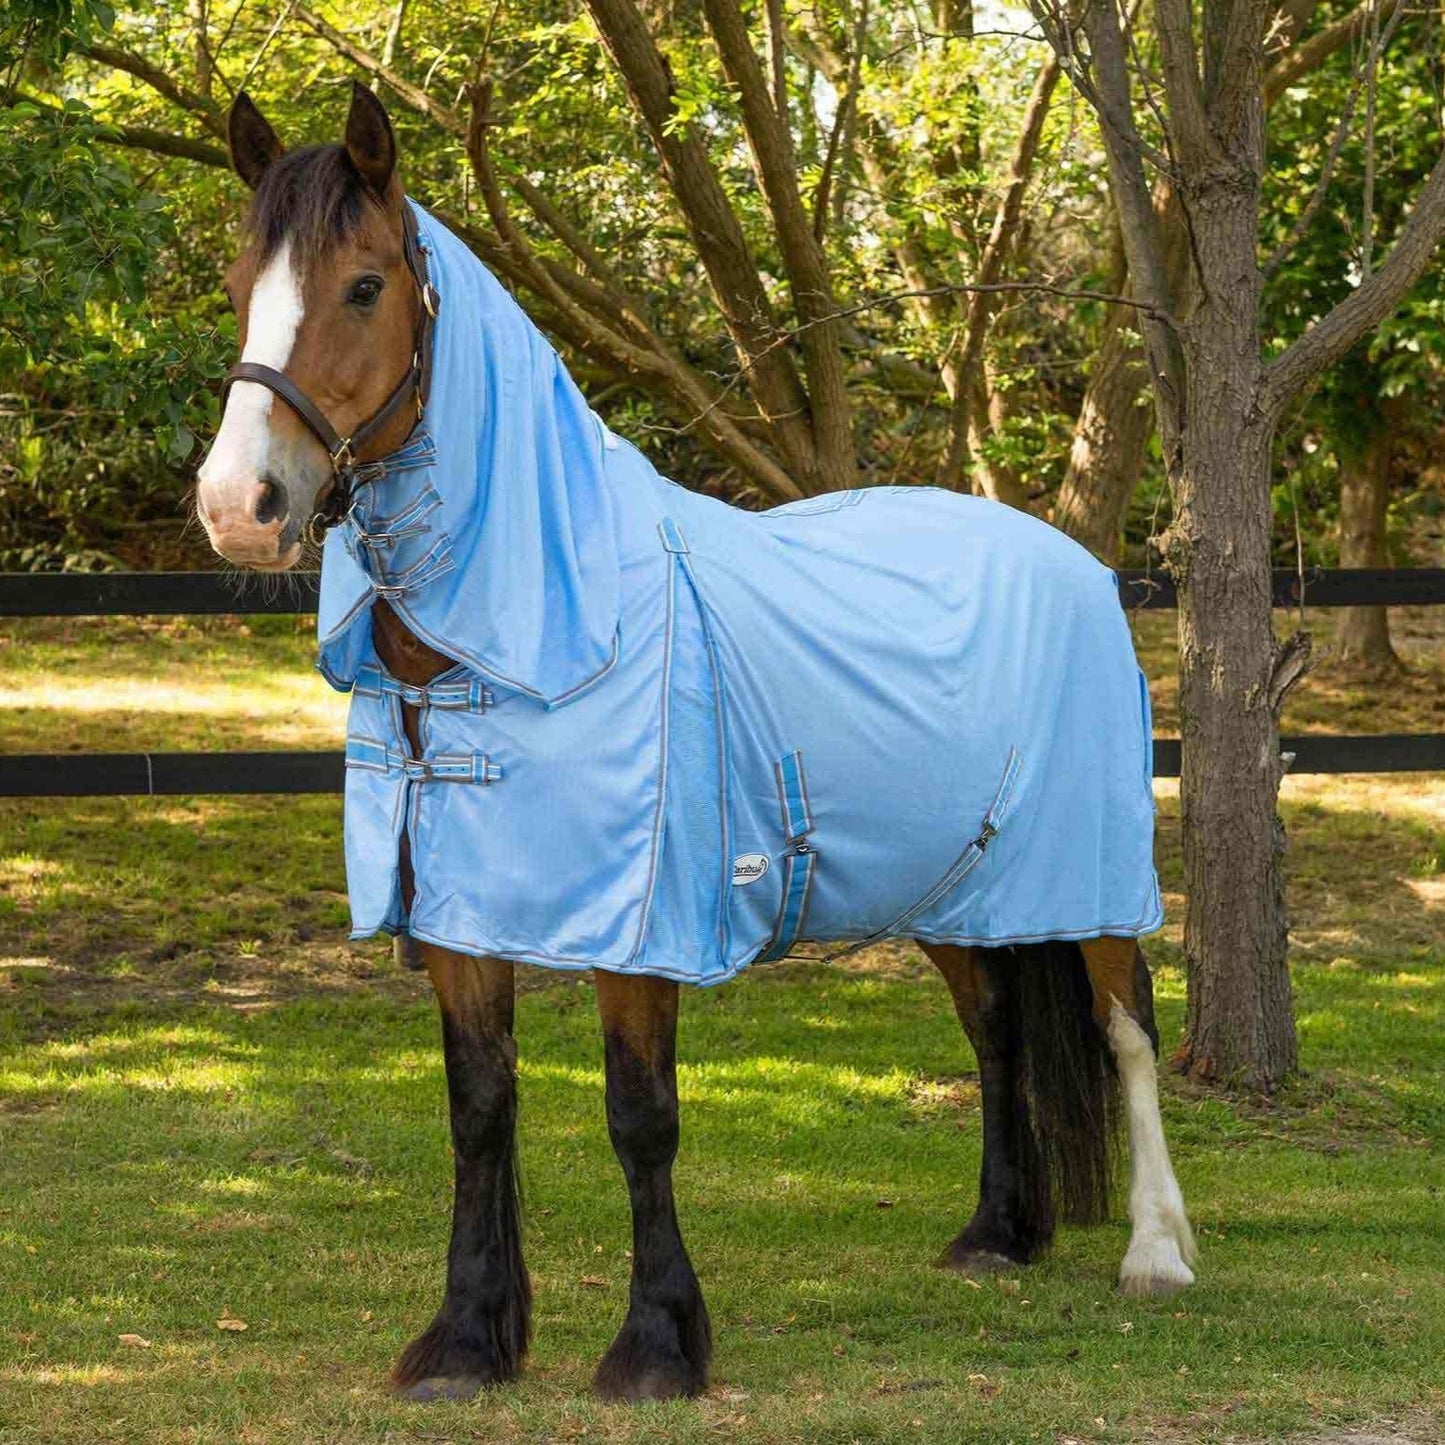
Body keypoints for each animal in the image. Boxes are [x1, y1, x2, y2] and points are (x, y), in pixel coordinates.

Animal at [195, 82, 1196, 1404]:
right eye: (238, 283)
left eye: (363, 285)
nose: (236, 507)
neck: (538, 630)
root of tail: (1067, 555)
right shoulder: (461, 918)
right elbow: (478, 1110)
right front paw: (465, 1339)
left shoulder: (640, 921)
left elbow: (640, 1114)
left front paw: (656, 1344)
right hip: (949, 881)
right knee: (994, 1028)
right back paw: (996, 1232)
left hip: (1083, 872)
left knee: (1126, 1026)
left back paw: (1154, 1251)